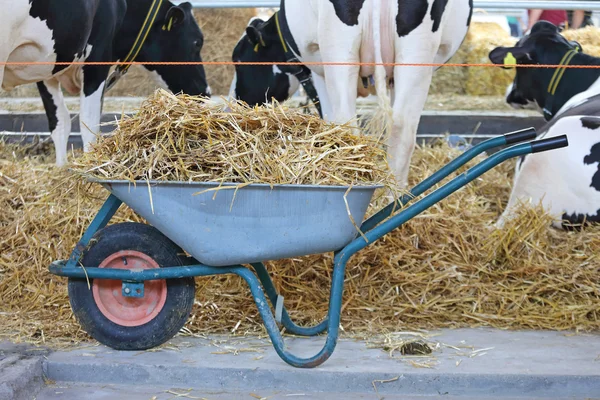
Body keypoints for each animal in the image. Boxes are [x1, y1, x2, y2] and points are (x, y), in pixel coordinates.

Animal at [230, 0, 474, 188]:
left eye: (238, 60)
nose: (232, 105)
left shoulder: (318, 71)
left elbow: (329, 119)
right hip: (415, 54)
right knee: (402, 129)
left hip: (338, 47)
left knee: (347, 123)